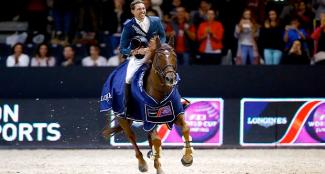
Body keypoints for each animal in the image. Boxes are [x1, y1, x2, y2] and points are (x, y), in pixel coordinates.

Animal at [101, 36, 192, 173]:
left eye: (174, 55)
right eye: (159, 56)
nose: (170, 78)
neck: (161, 91)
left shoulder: (175, 114)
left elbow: (186, 128)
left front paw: (187, 158)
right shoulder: (149, 119)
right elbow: (157, 140)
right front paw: (158, 167)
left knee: (149, 139)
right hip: (122, 118)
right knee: (132, 137)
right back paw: (143, 164)